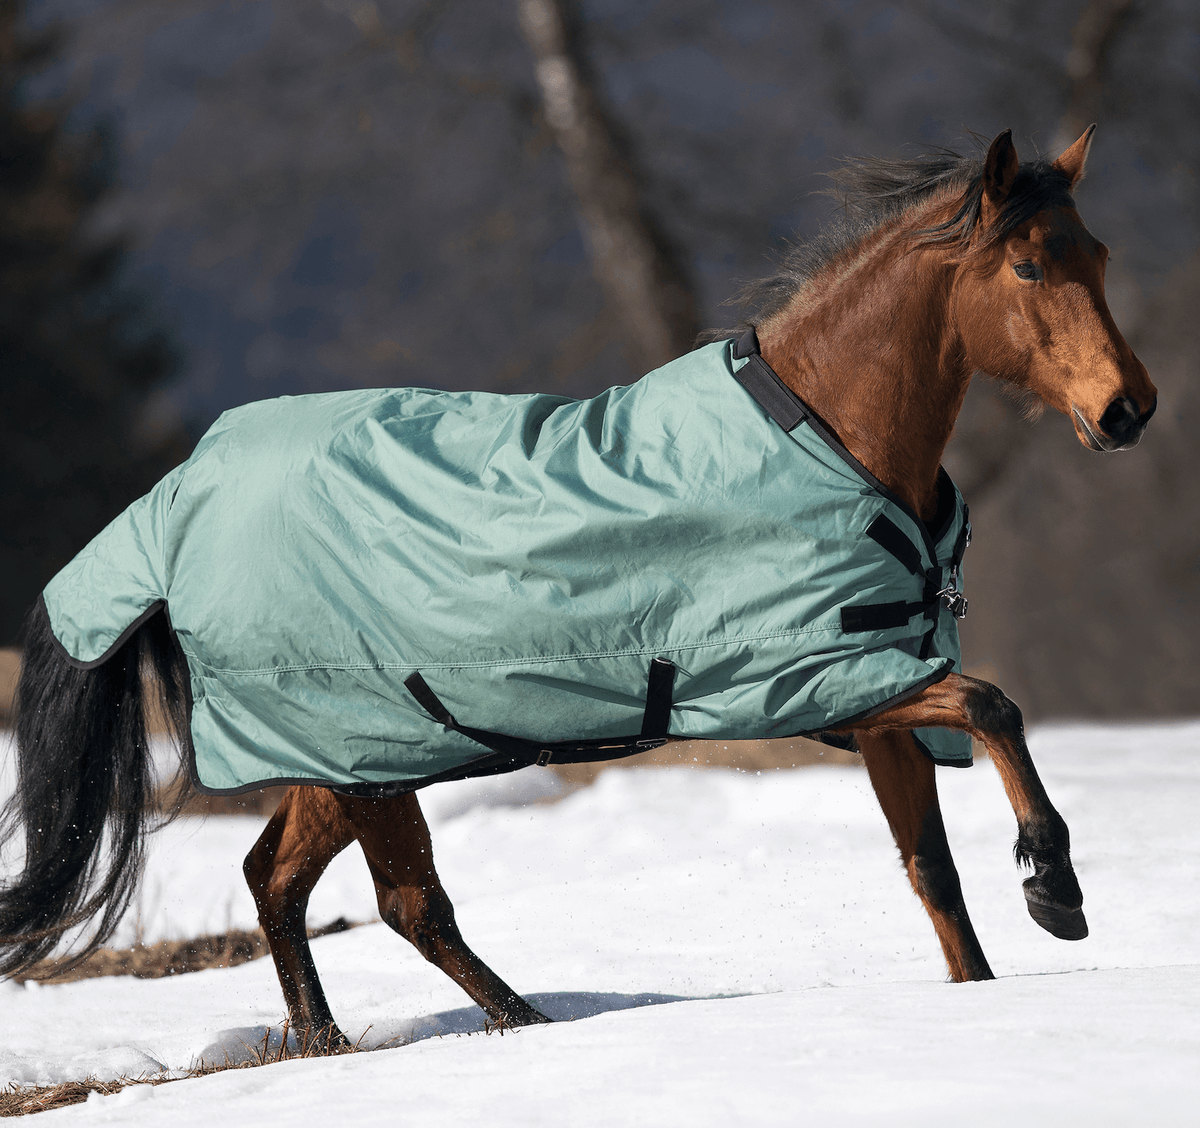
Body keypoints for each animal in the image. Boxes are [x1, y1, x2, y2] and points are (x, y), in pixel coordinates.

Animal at [0, 127, 1156, 1048]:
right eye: (1026, 265)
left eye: (1097, 254)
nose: (1129, 409)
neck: (828, 437)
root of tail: (174, 499)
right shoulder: (820, 679)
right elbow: (996, 708)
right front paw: (1056, 891)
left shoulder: (878, 707)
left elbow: (934, 874)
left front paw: (987, 987)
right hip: (367, 750)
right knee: (408, 902)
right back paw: (525, 1028)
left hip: (350, 756)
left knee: (275, 881)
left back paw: (329, 1044)